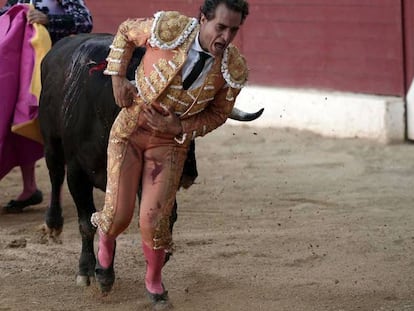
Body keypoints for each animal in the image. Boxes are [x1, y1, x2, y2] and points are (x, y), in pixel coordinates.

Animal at [38, 33, 262, 286]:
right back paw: (52, 225)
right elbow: (87, 222)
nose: (188, 174)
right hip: (51, 142)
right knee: (55, 175)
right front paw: (86, 271)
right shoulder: (77, 172)